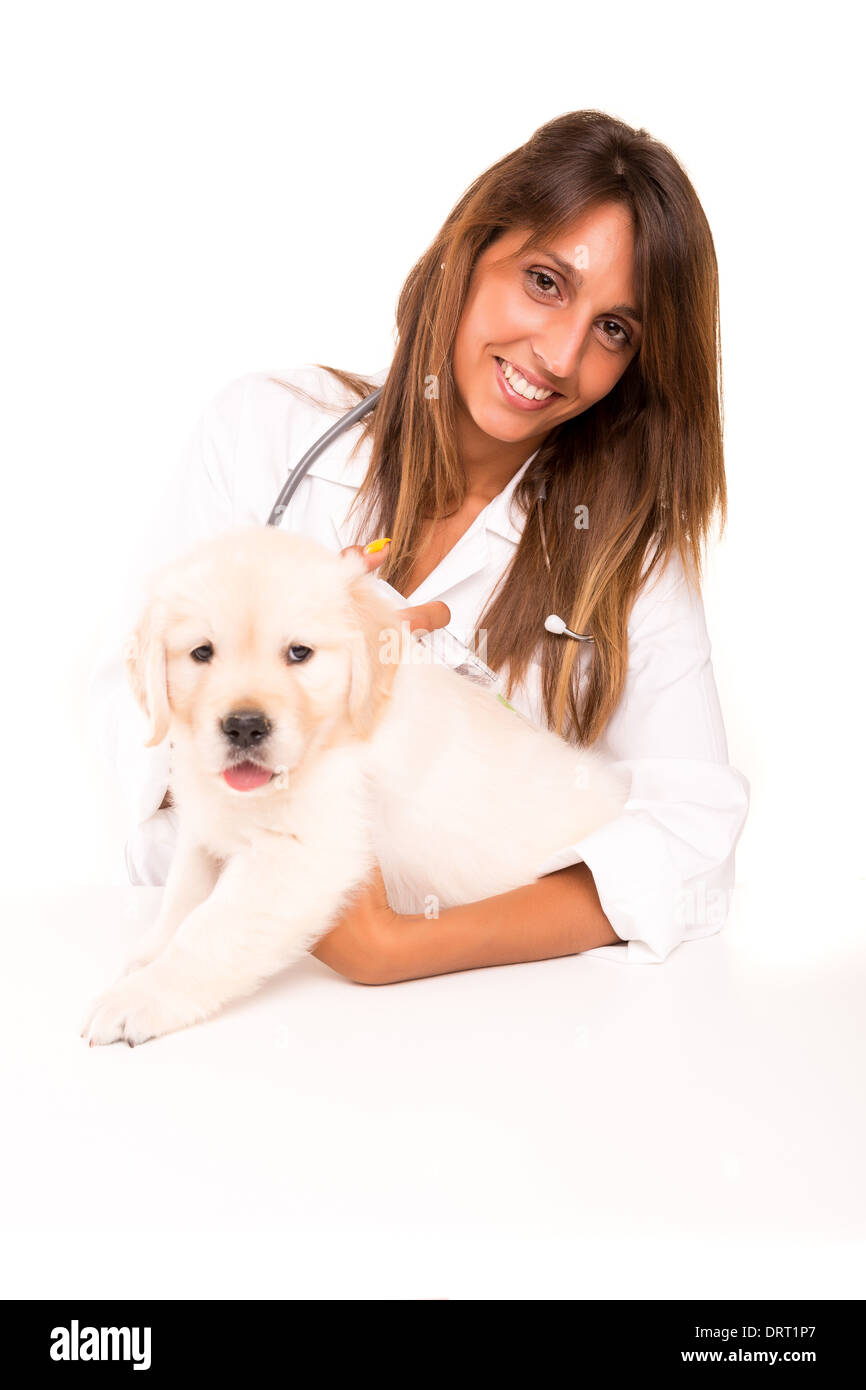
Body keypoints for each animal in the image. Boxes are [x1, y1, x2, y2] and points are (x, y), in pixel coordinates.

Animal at [83, 525, 631, 1045]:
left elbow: (208, 930)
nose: (244, 727)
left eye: (299, 653)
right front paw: (144, 961)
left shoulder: (300, 853)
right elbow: (182, 898)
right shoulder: (207, 826)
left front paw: (138, 998)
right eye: (202, 653)